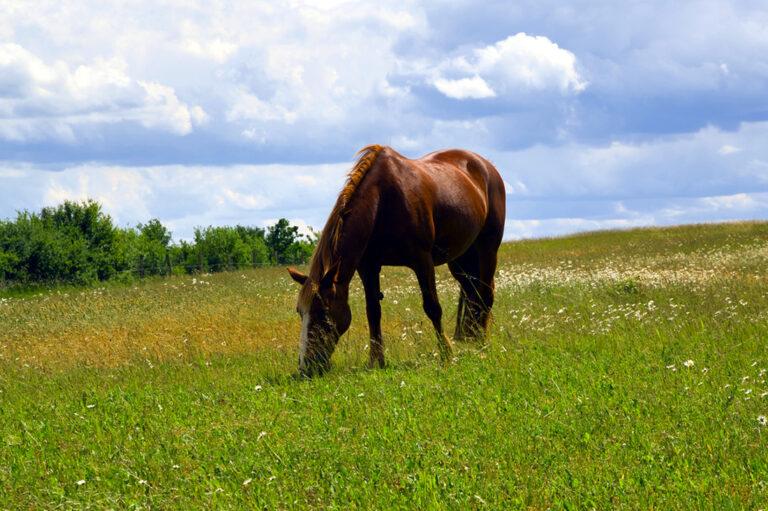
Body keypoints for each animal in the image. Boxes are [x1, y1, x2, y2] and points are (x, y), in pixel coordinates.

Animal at [288, 145, 506, 376]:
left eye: (323, 314)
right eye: (300, 312)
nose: (306, 368)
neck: (382, 202)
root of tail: (486, 165)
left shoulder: (422, 261)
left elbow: (433, 308)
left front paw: (446, 354)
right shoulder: (368, 267)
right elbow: (373, 312)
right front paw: (376, 361)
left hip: (487, 249)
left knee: (485, 294)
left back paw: (481, 342)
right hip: (460, 259)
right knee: (472, 293)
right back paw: (472, 337)